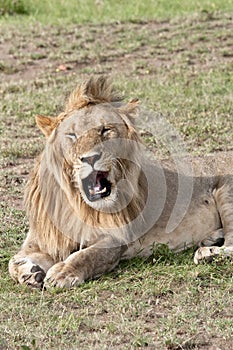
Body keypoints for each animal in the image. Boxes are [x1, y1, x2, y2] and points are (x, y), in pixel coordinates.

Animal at [8, 78, 233, 288]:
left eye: (105, 130)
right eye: (71, 135)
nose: (90, 158)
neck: (77, 203)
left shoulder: (116, 238)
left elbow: (86, 256)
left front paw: (63, 273)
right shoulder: (42, 238)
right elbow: (13, 261)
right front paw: (29, 273)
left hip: (226, 191)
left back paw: (208, 253)